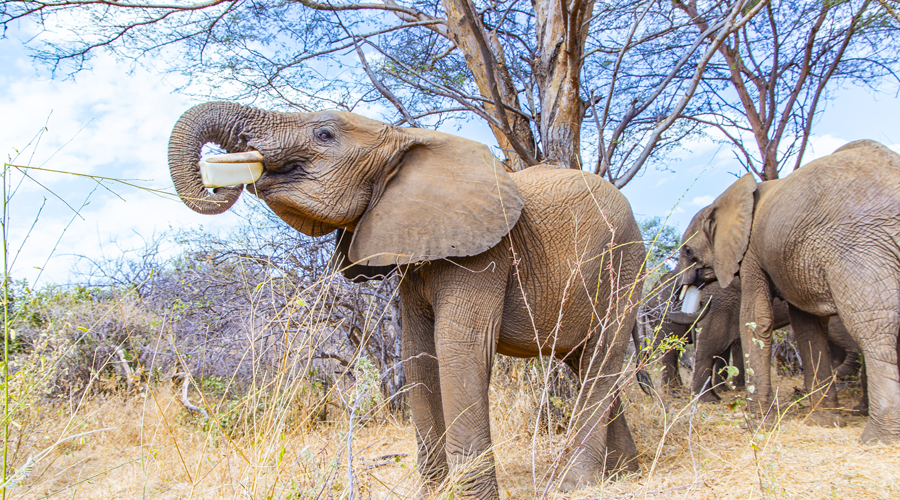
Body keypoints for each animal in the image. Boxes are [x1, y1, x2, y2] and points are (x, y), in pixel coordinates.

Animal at [167, 102, 647, 497]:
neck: (404, 135)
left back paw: (576, 484)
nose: (221, 178)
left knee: (602, 356)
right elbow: (418, 354)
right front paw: (434, 493)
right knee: (588, 362)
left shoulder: (485, 255)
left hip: (624, 264)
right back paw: (624, 474)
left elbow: (458, 350)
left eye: (324, 134)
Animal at [674, 140, 900, 442]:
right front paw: (824, 421)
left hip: (861, 248)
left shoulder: (752, 252)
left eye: (687, 251)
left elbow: (756, 319)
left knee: (872, 328)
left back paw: (879, 437)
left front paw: (758, 426)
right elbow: (806, 326)